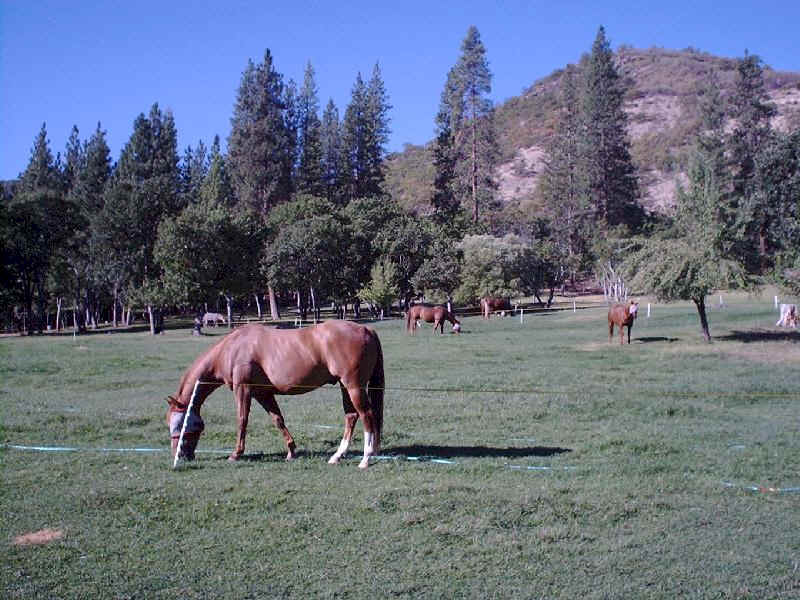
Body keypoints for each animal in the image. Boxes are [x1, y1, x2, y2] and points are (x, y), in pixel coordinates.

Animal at [166, 324, 384, 468]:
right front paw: (291, 451)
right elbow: (278, 420)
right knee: (352, 416)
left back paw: (365, 459)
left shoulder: (243, 390)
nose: (179, 455)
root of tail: (366, 329)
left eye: (179, 424)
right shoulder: (263, 394)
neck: (232, 349)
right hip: (344, 386)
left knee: (367, 416)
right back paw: (338, 456)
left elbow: (242, 420)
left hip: (353, 387)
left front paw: (236, 454)